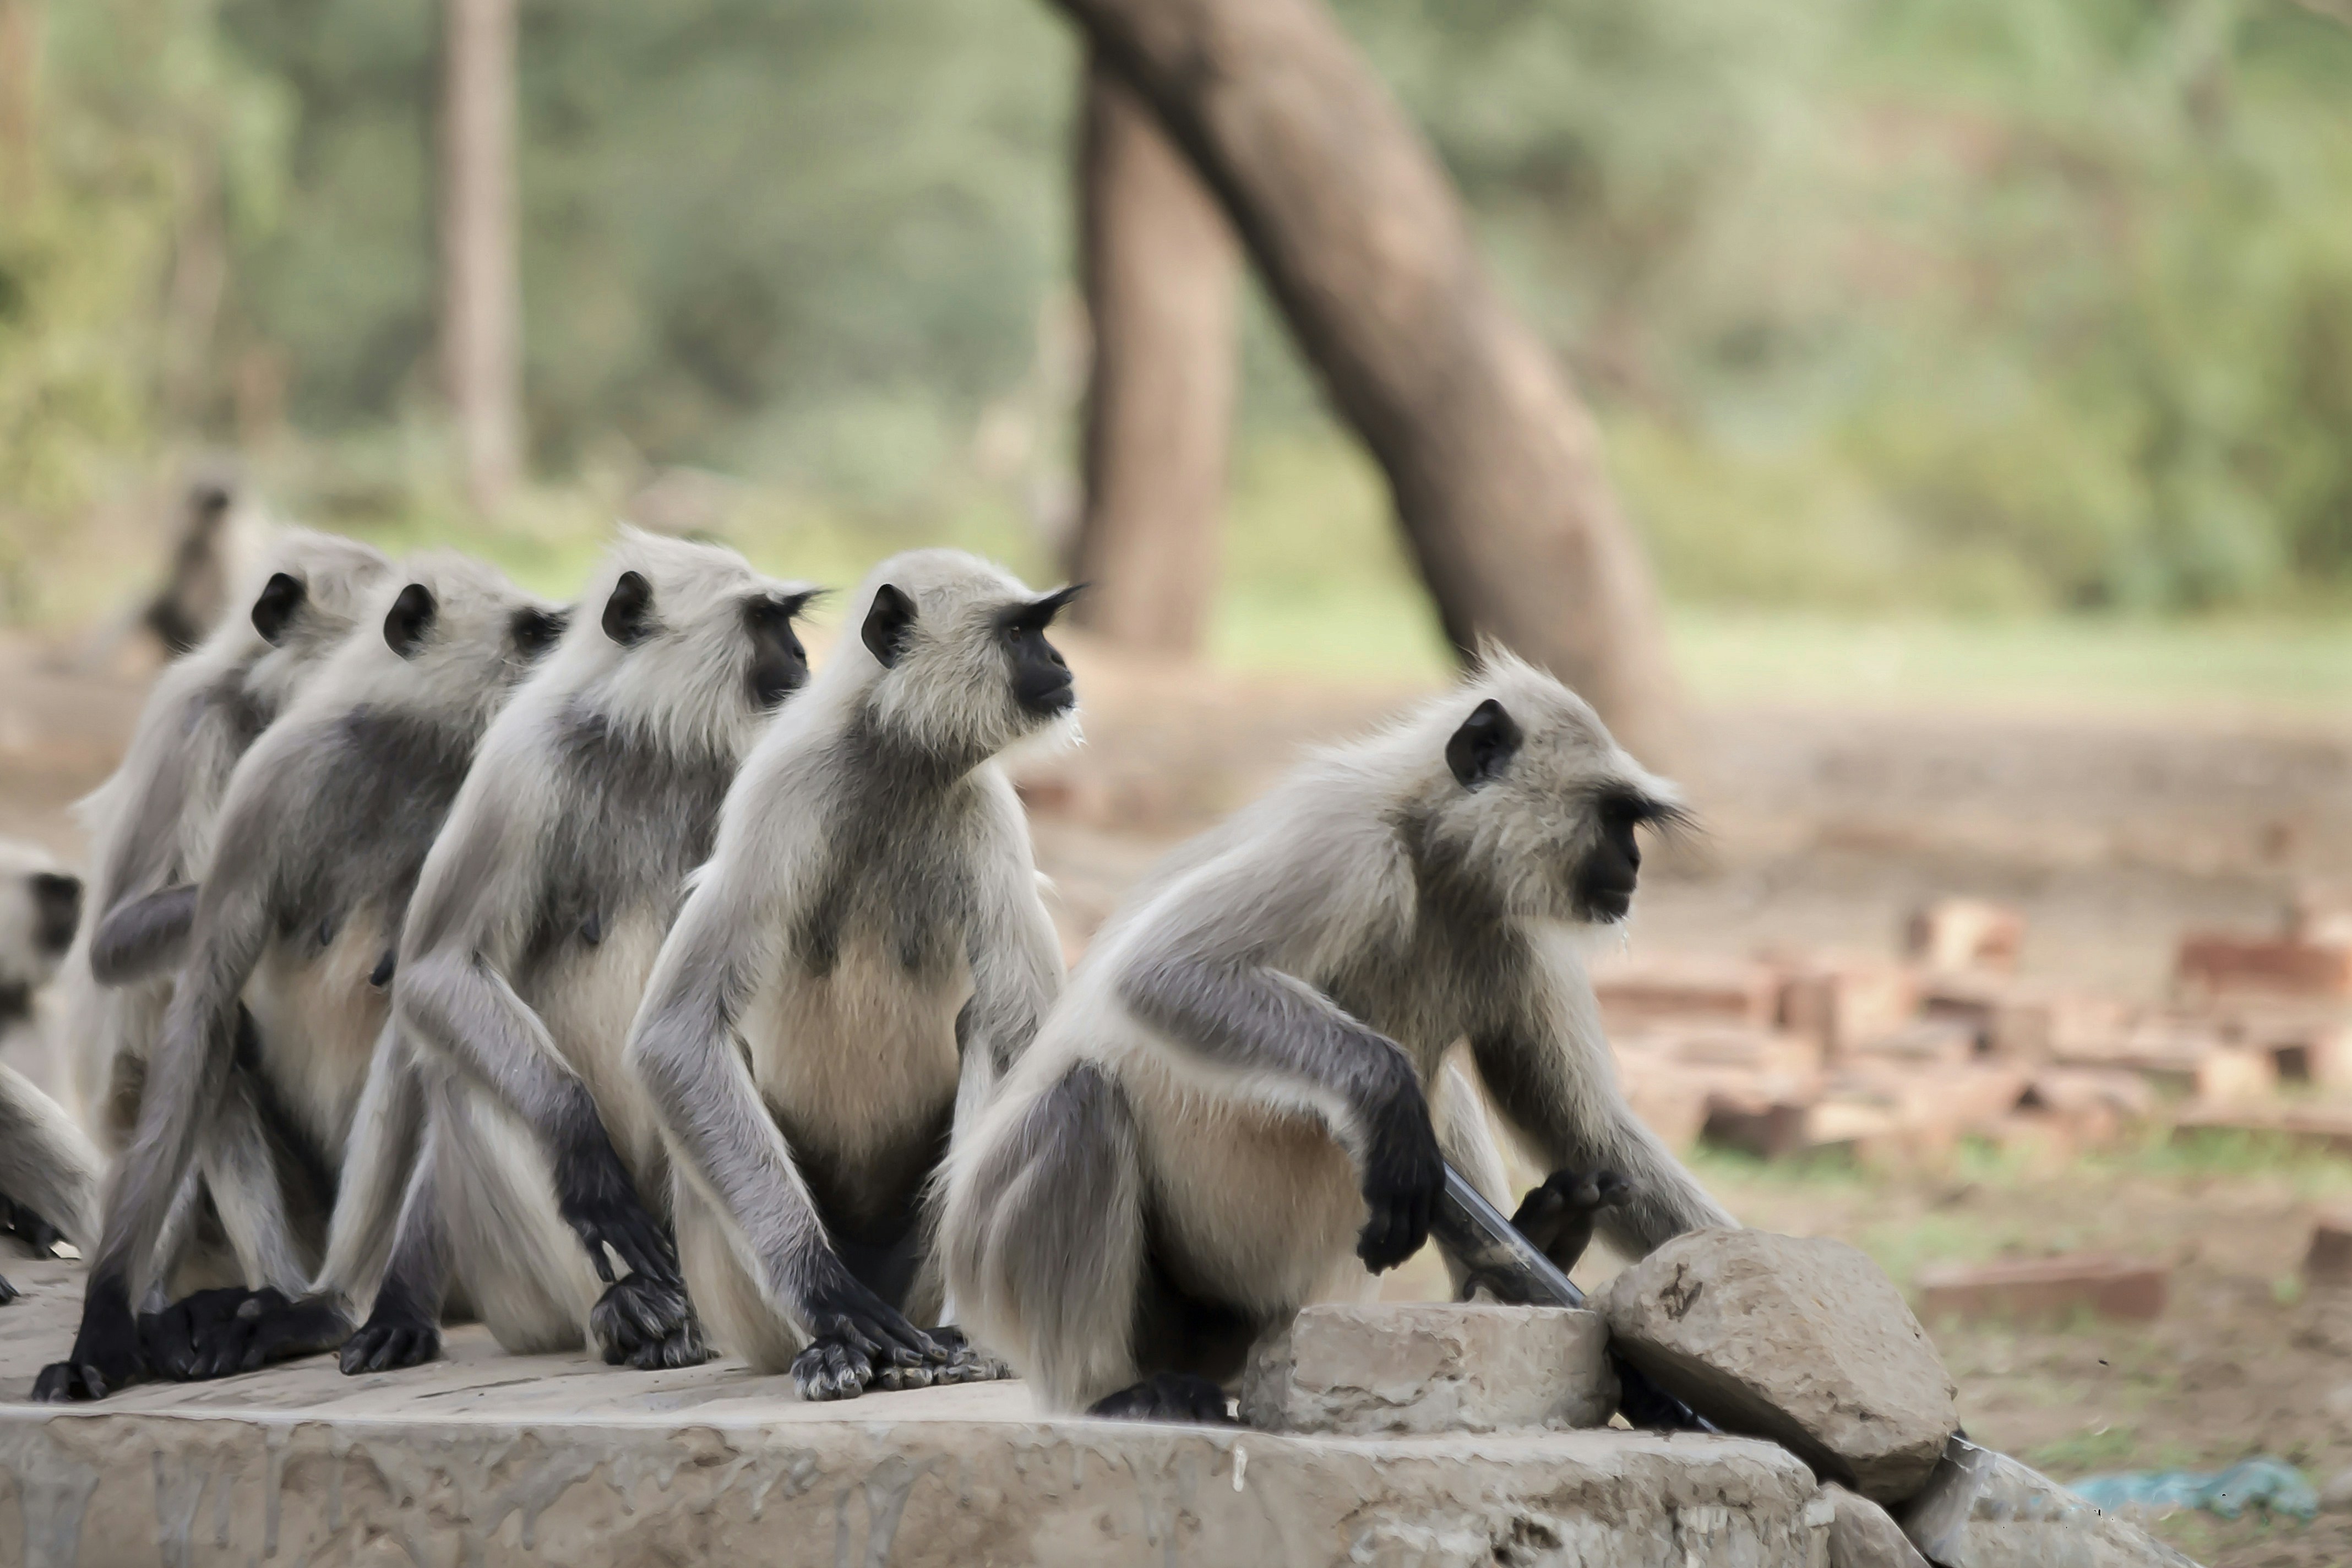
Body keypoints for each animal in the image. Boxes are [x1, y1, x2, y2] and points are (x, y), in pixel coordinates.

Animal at [33, 554, 566, 1400]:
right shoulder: (273, 785)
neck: (408, 753)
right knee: (213, 1050)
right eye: (533, 633)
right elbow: (203, 1005)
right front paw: (105, 1321)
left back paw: (334, 1306)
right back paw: (259, 1300)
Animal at [193, 532, 824, 1379]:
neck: (656, 743)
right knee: (461, 1070)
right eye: (763, 621)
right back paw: (627, 1310)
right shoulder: (522, 763)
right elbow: (440, 969)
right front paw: (580, 1146)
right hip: (526, 1295)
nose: (803, 654)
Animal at [624, 548, 1076, 1401]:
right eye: (1021, 633)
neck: (898, 762)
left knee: (990, 1023)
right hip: (753, 1311)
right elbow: (676, 1034)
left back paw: (968, 1338)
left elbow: (1041, 1040)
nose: (1063, 665)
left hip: (917, 1276)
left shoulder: (992, 818)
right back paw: (832, 1345)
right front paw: (824, 1294)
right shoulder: (780, 795)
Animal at [937, 650, 1737, 1420]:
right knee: (1085, 1100)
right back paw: (1107, 1390)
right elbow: (1165, 974)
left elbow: (1586, 1125)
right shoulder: (1348, 841)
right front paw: (1389, 1103)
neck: (1433, 855)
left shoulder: (1518, 931)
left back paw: (1531, 1249)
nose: (1635, 862)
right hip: (993, 1264)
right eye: (1614, 816)